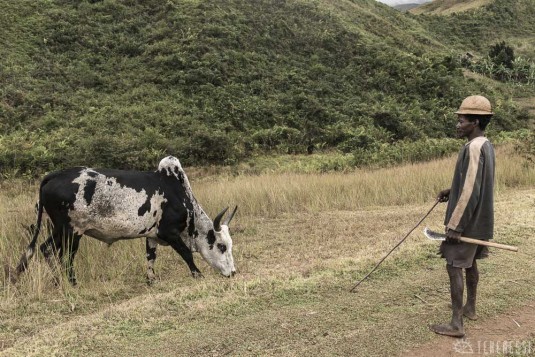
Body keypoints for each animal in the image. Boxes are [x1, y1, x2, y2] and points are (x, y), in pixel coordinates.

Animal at [12, 156, 238, 284]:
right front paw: (198, 274)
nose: (233, 273)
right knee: (65, 257)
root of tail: (53, 175)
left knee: (46, 249)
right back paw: (72, 283)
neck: (179, 195)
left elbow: (150, 258)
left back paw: (58, 282)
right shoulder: (170, 233)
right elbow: (186, 255)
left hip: (59, 231)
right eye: (221, 246)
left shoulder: (152, 235)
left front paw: (151, 280)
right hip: (71, 232)